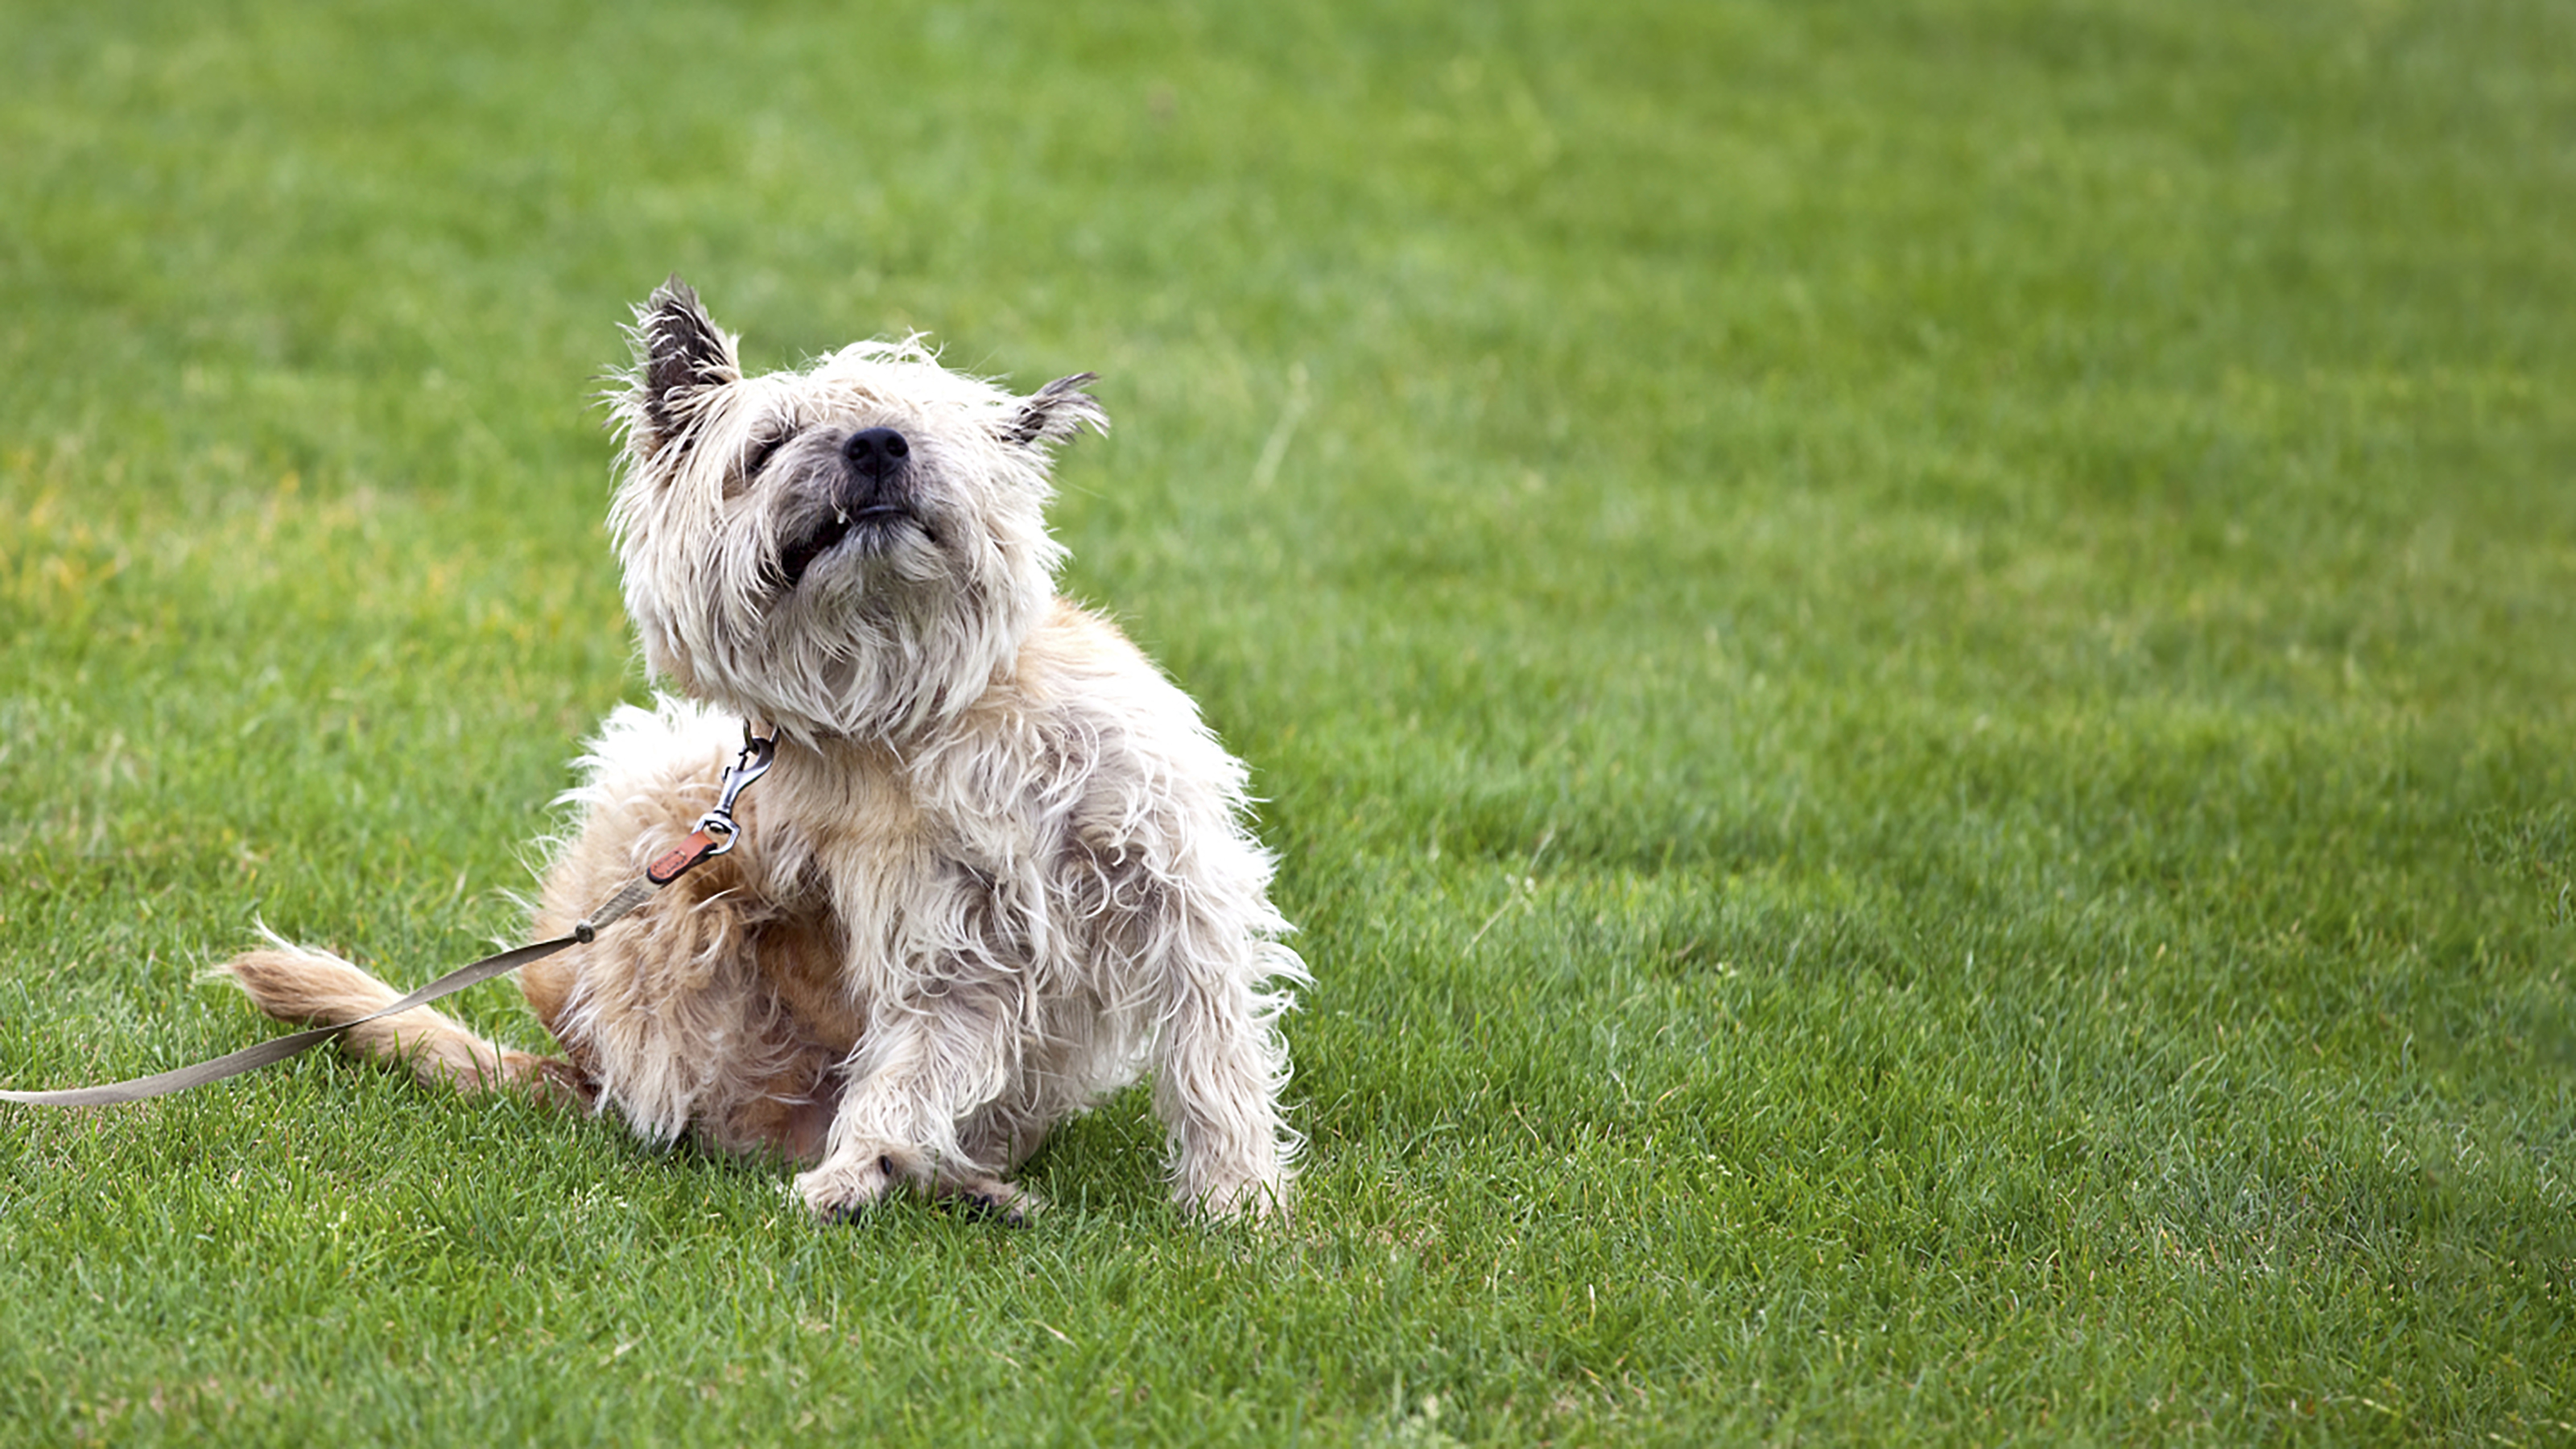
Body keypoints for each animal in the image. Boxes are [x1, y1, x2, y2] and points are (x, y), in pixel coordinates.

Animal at [219, 273, 1308, 1216]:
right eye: (770, 442)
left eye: (918, 428)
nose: (876, 445)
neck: (917, 707)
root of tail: (577, 1074)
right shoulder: (949, 951)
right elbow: (911, 1069)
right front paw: (856, 1171)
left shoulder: (1168, 887)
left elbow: (1212, 1055)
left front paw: (1238, 1204)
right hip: (653, 815)